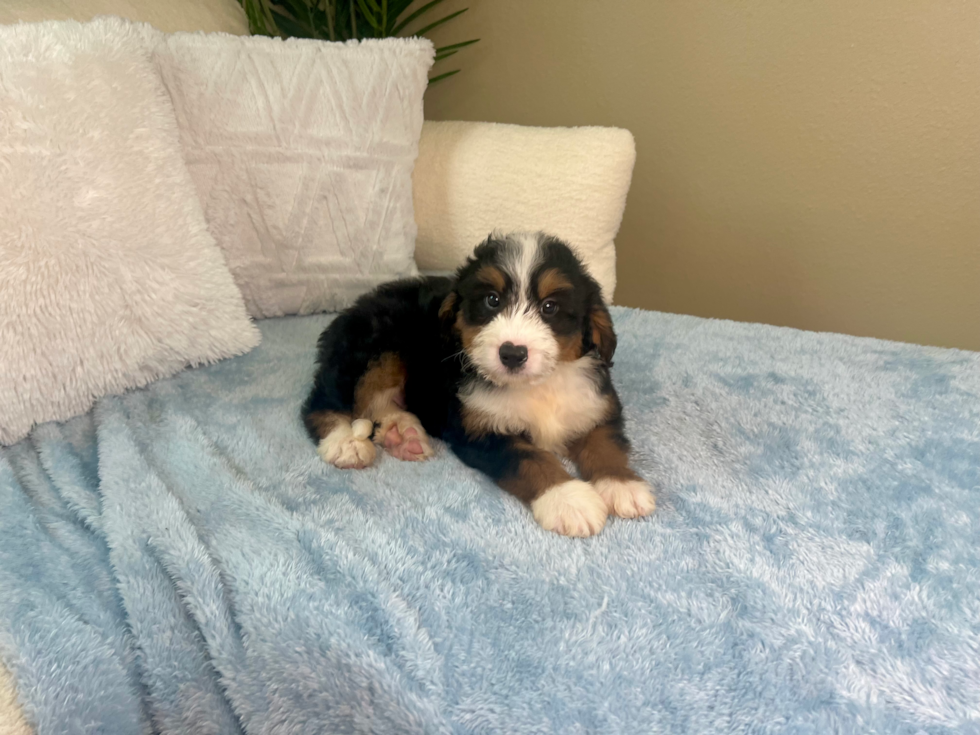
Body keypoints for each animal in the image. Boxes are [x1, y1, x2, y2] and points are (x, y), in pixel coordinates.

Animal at [302, 233, 656, 536]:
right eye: (492, 300)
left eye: (550, 307)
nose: (512, 353)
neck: (537, 386)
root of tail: (352, 308)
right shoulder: (478, 429)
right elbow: (531, 459)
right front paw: (569, 500)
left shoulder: (596, 404)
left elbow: (606, 443)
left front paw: (621, 485)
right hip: (376, 344)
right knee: (323, 401)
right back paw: (344, 442)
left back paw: (403, 434)